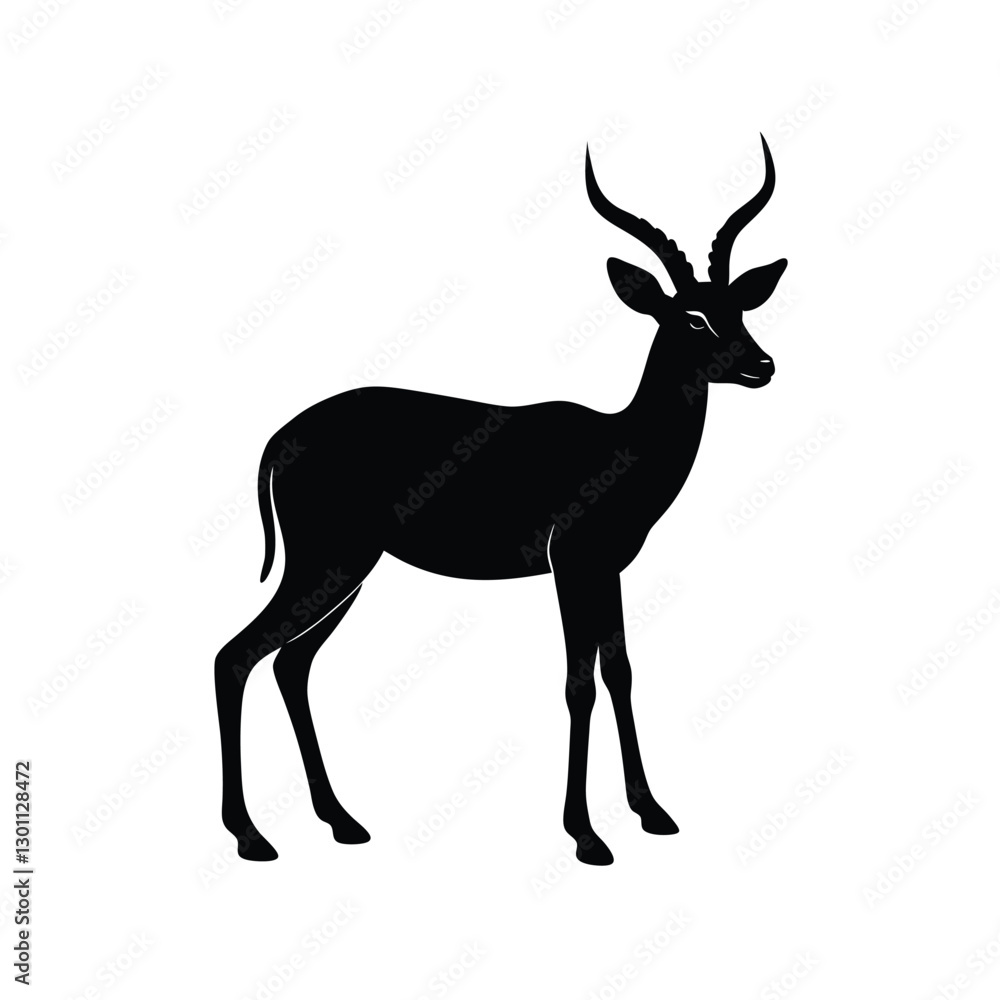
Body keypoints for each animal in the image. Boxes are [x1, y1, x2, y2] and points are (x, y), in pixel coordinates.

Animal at [215, 135, 787, 865]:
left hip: (349, 571)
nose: (761, 365)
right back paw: (251, 837)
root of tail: (280, 437)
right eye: (689, 317)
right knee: (237, 656)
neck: (621, 441)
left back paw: (343, 822)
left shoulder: (607, 569)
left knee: (290, 665)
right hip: (329, 562)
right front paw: (586, 835)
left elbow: (620, 672)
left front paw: (653, 813)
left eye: (739, 309)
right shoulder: (571, 564)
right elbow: (578, 683)